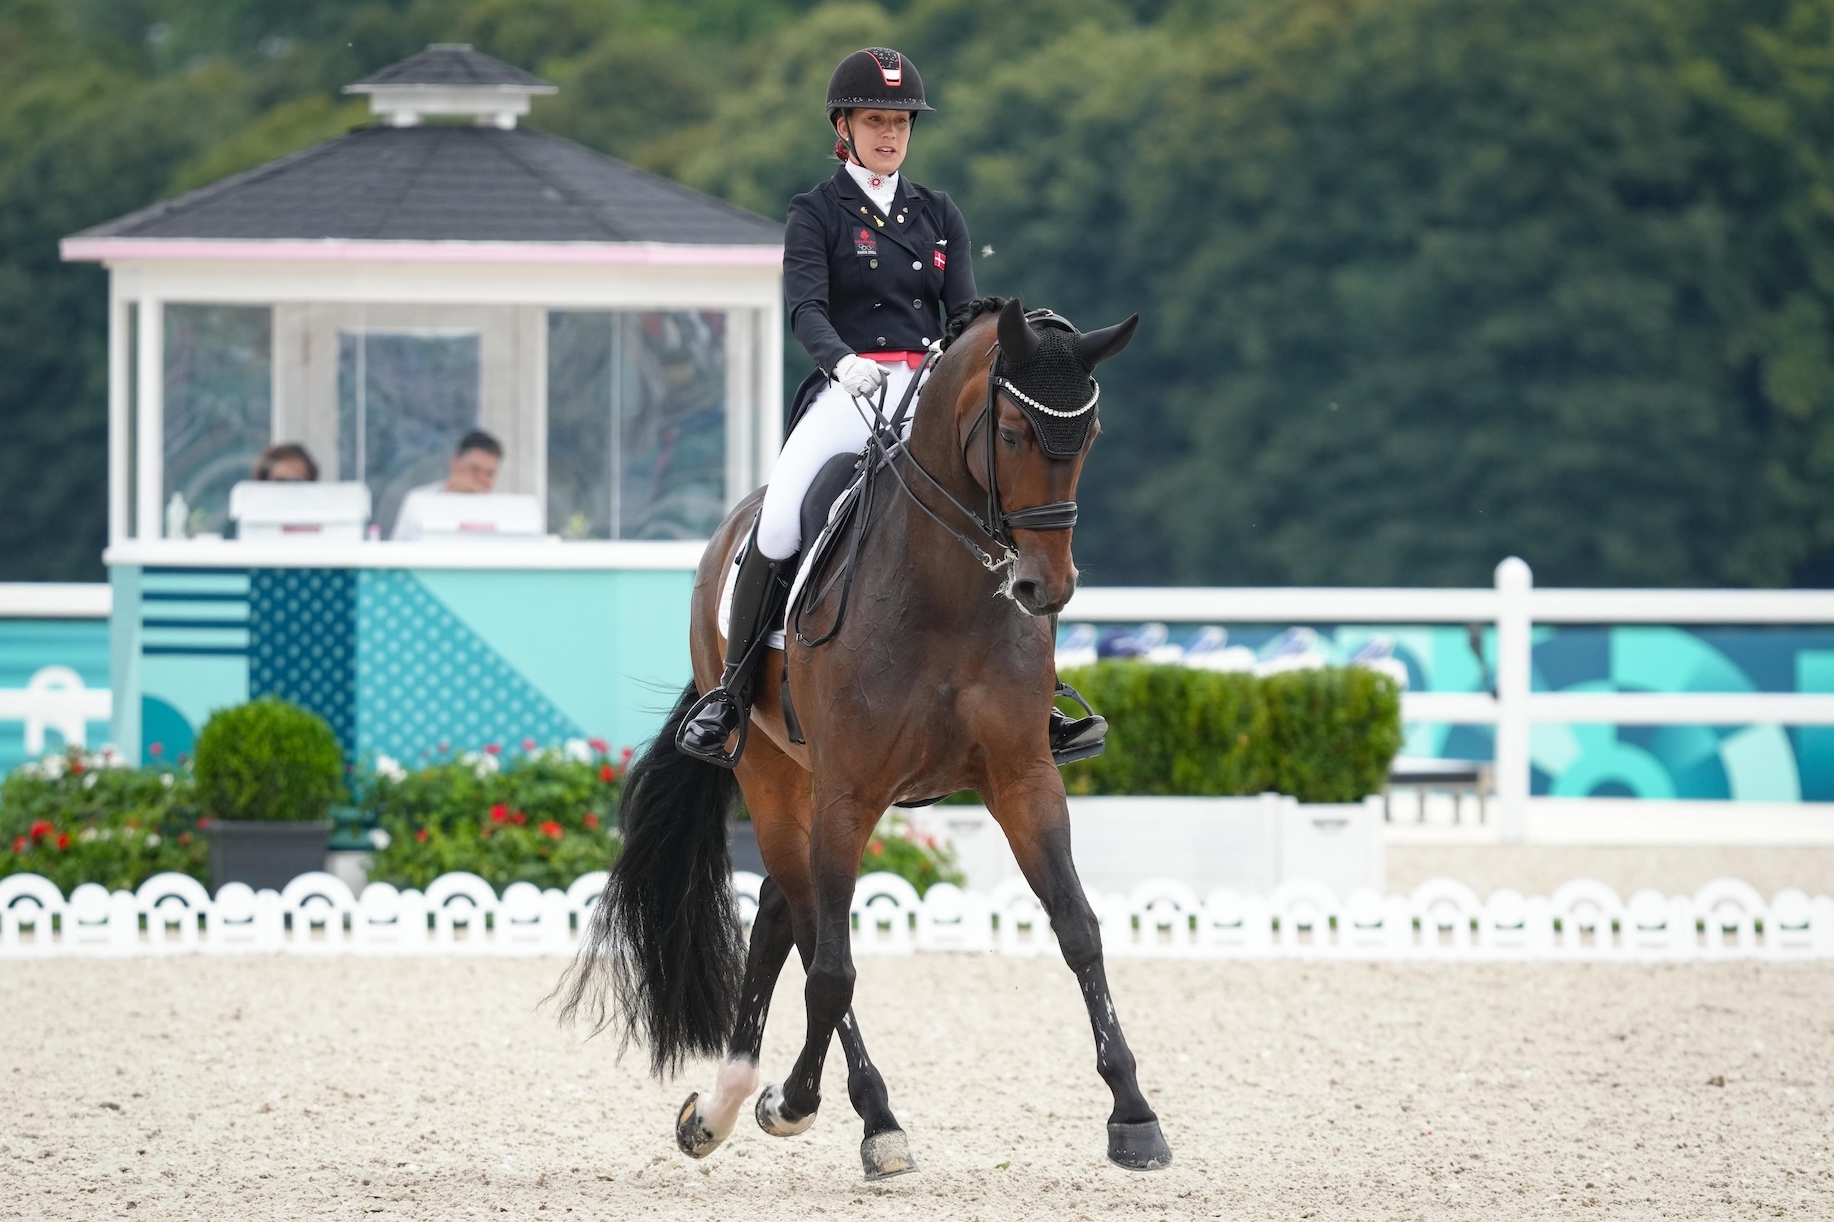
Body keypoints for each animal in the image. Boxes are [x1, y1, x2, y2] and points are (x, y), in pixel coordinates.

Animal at [550, 293, 1173, 1174]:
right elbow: (833, 967)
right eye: (1012, 431)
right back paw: (836, 1109)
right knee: (810, 924)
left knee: (781, 908)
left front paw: (1134, 1115)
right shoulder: (850, 793)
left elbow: (1079, 929)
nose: (1044, 589)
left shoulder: (1024, 777)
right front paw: (814, 1107)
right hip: (774, 778)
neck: (947, 593)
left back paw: (722, 1105)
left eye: (1086, 436)